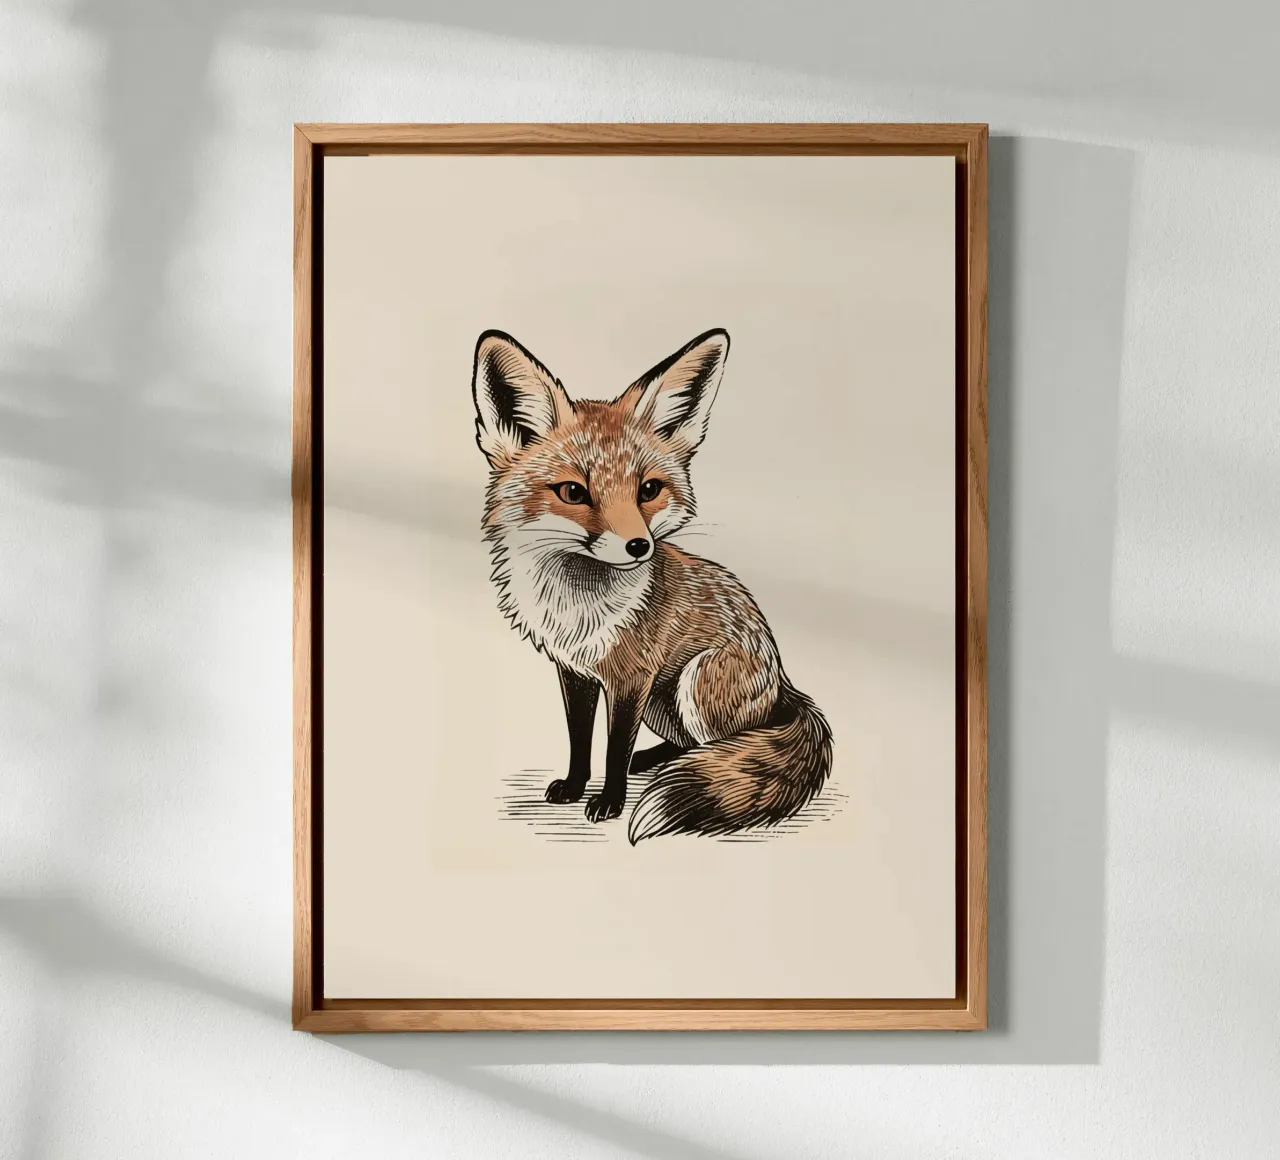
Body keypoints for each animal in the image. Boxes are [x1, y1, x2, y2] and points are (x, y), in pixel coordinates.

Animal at [471, 326, 833, 843]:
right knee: (691, 745)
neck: (577, 607)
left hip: (694, 681)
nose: (639, 546)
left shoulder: (632, 677)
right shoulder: (576, 672)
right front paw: (575, 787)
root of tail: (784, 682)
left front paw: (609, 802)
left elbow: (614, 748)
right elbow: (580, 738)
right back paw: (656, 761)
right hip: (666, 704)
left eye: (648, 490)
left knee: (728, 747)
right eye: (573, 492)